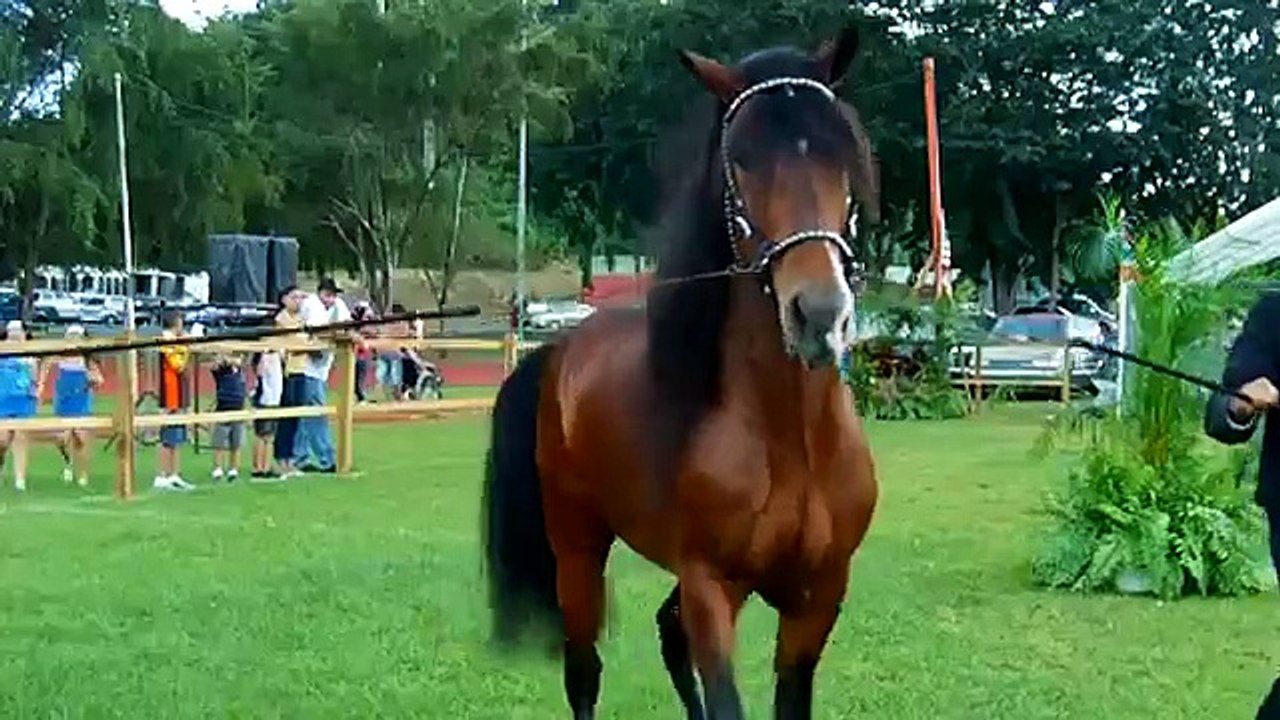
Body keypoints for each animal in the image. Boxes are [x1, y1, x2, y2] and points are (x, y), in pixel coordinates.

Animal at [483, 27, 881, 720]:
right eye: (740, 161)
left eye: (842, 151)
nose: (819, 314)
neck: (791, 440)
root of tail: (559, 351)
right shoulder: (710, 587)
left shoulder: (818, 598)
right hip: (577, 550)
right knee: (584, 671)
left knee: (667, 633)